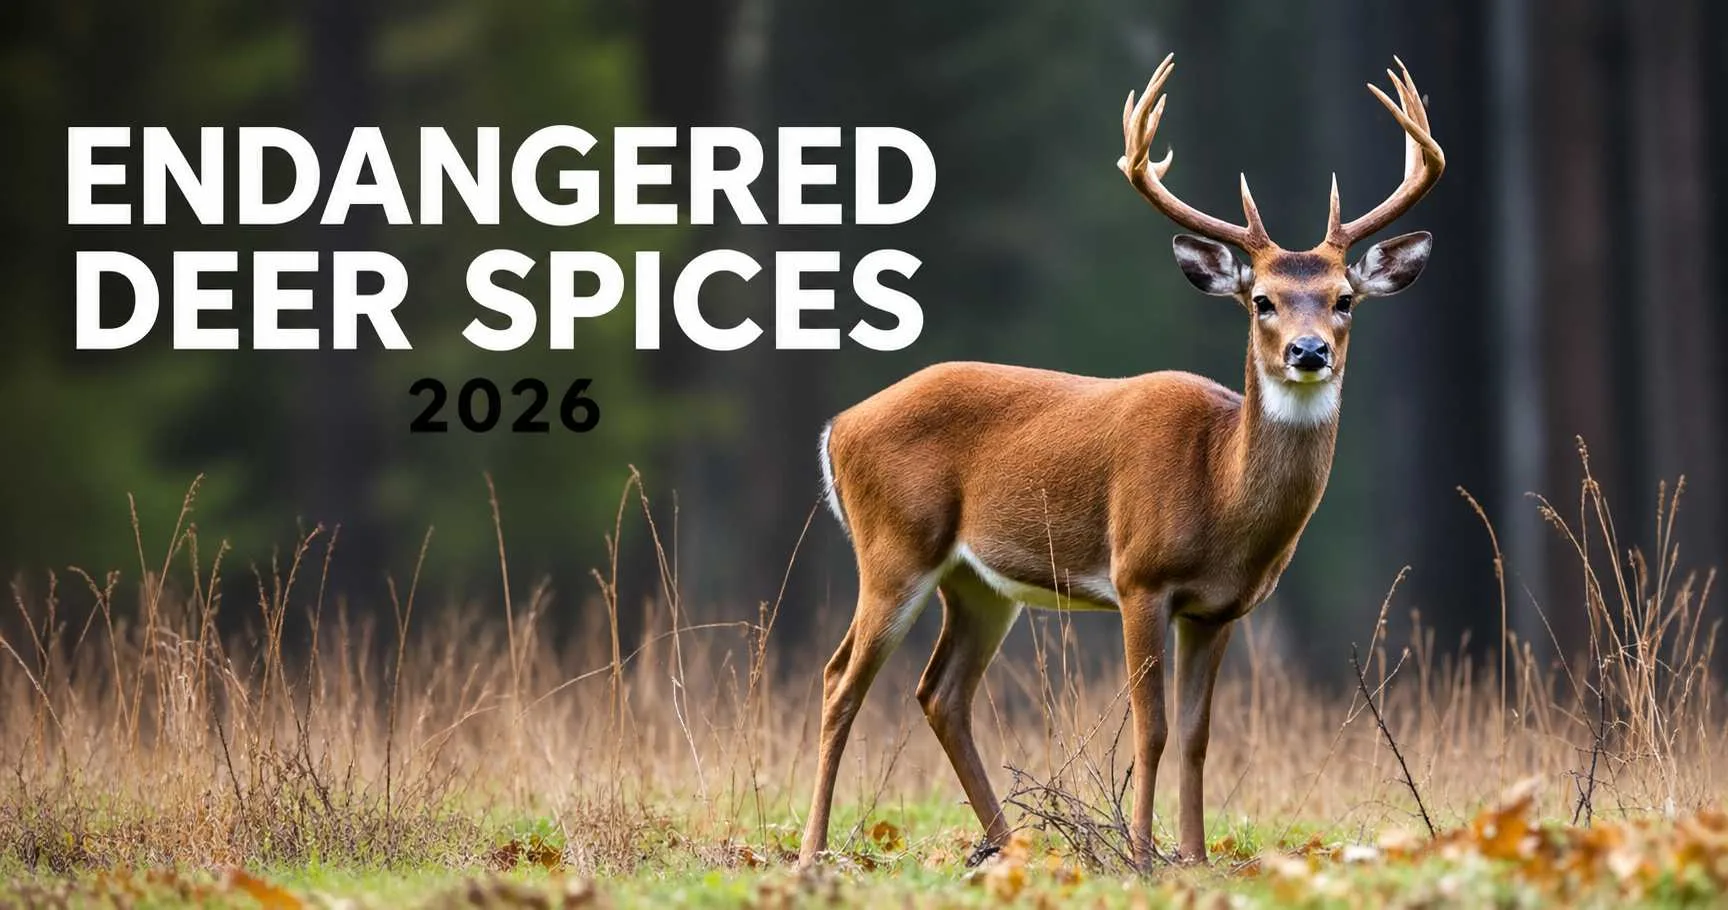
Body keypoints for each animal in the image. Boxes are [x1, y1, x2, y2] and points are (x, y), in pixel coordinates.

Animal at [797, 54, 1443, 870]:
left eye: (1344, 299)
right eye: (1261, 300)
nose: (1308, 352)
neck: (1219, 490)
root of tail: (838, 428)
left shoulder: (1221, 607)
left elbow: (1198, 736)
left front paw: (1194, 857)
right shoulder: (1139, 575)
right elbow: (1153, 726)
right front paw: (1141, 854)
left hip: (977, 582)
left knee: (940, 692)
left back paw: (1011, 845)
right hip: (893, 546)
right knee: (839, 680)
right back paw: (813, 850)